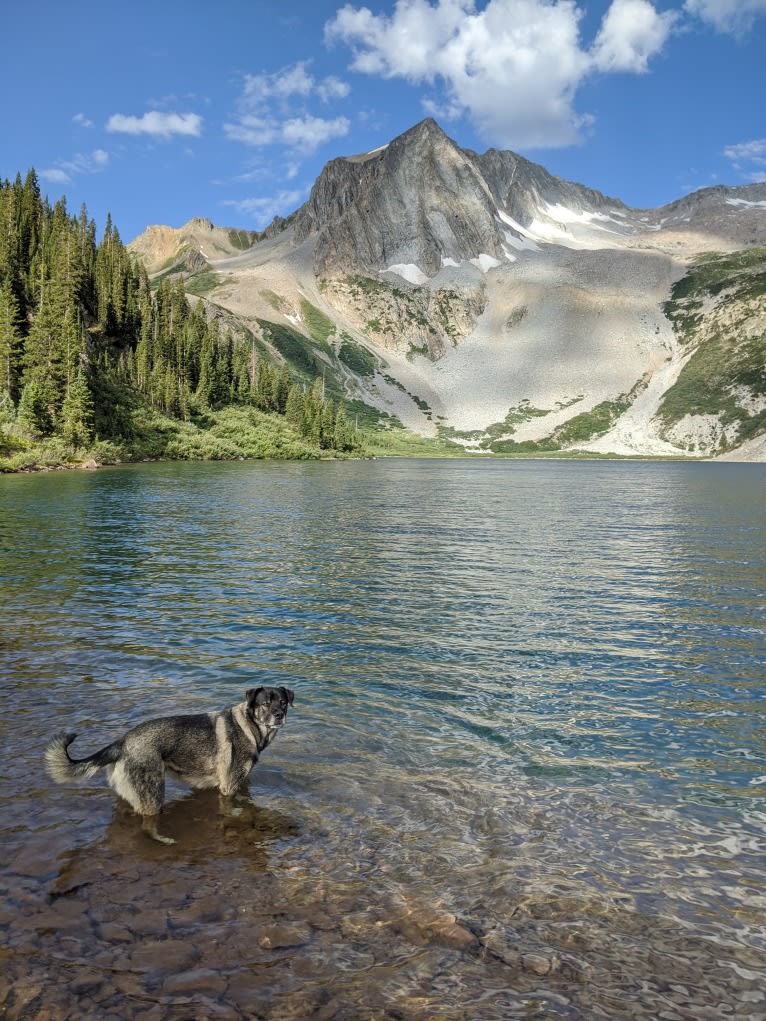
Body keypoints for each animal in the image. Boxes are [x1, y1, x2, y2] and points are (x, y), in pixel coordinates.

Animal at [44, 686, 296, 845]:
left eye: (283, 702)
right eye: (266, 704)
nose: (279, 715)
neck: (249, 726)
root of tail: (122, 742)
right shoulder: (227, 787)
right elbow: (229, 809)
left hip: (132, 791)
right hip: (154, 794)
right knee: (146, 825)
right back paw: (161, 840)